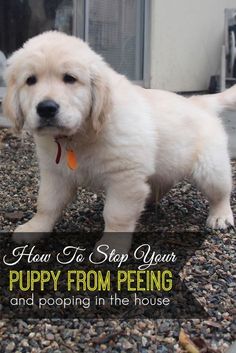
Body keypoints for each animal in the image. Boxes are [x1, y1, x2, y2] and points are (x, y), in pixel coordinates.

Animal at [2, 31, 235, 250]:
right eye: (30, 80)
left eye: (70, 78)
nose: (46, 108)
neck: (80, 134)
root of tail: (197, 102)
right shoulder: (55, 173)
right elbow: (46, 204)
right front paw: (34, 228)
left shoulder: (125, 177)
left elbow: (116, 214)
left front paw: (111, 246)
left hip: (210, 168)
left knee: (221, 192)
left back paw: (220, 216)